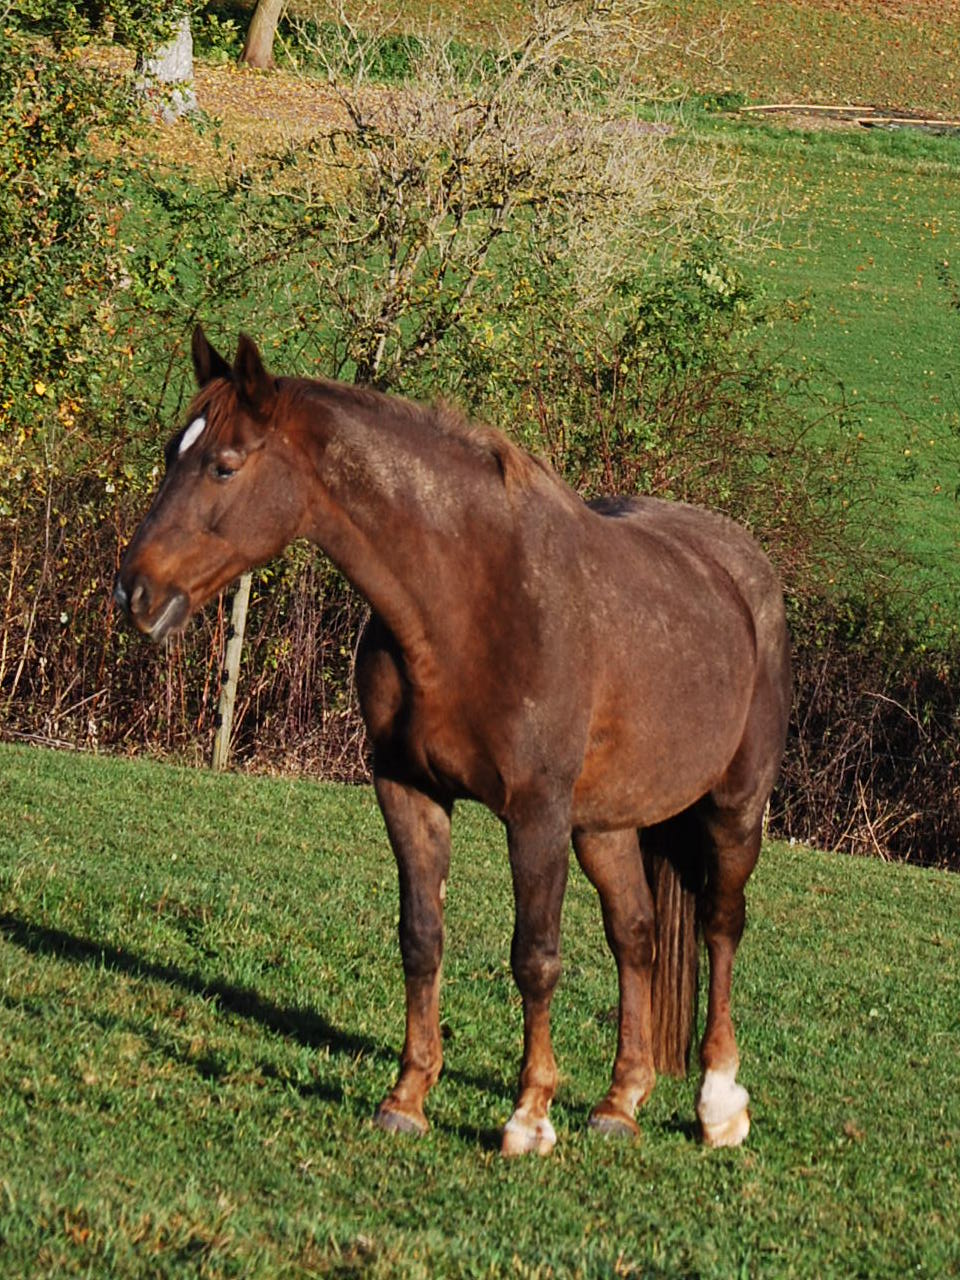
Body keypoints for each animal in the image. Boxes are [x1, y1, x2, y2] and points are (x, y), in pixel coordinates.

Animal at [114, 330, 788, 1162]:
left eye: (225, 464)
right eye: (172, 451)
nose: (133, 592)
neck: (467, 601)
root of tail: (745, 570)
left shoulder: (535, 814)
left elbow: (535, 957)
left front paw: (529, 1116)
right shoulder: (408, 789)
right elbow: (421, 937)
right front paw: (407, 1097)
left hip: (734, 810)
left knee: (721, 927)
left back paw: (718, 1103)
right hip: (606, 823)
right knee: (636, 935)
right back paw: (620, 1101)